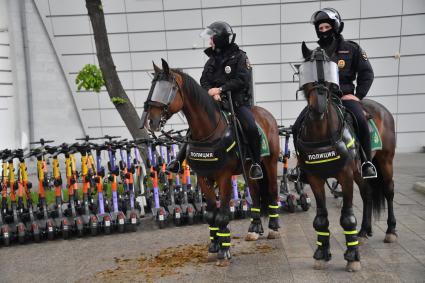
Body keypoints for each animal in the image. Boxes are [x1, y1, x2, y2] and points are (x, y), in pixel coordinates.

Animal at [141, 58, 282, 266]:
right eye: (153, 87)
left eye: (170, 88)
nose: (152, 121)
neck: (208, 132)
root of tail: (265, 114)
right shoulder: (202, 177)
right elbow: (210, 214)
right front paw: (215, 245)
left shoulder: (224, 177)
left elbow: (222, 214)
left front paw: (225, 250)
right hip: (248, 168)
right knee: (255, 193)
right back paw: (254, 228)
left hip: (270, 164)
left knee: (271, 190)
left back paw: (273, 227)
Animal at [294, 45, 398, 272]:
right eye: (307, 71)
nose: (318, 107)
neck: (321, 132)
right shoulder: (315, 179)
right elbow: (321, 218)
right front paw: (321, 253)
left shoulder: (345, 176)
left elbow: (347, 217)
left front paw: (352, 256)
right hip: (360, 171)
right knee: (368, 193)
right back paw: (364, 231)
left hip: (385, 162)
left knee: (388, 191)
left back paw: (390, 231)